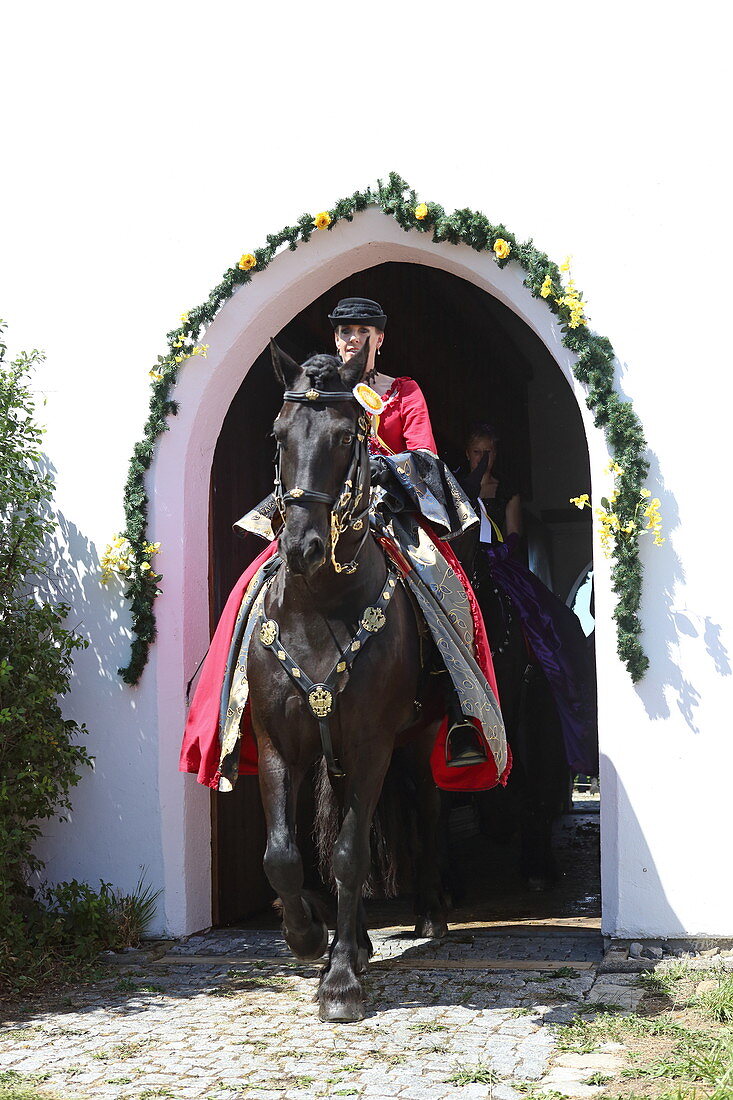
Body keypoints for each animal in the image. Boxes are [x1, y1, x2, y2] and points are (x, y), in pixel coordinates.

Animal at [244, 343, 444, 1020]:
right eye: (279, 435)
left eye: (342, 438)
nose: (302, 547)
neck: (318, 607)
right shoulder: (279, 745)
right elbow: (283, 857)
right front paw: (310, 938)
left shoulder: (371, 743)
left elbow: (350, 855)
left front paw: (340, 983)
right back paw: (351, 940)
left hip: (416, 741)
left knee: (424, 806)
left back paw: (426, 916)